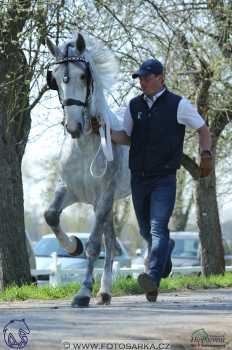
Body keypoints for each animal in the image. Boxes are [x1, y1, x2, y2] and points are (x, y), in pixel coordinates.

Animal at [43, 32, 130, 306]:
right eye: (56, 78)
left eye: (83, 76)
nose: (73, 127)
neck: (84, 145)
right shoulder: (70, 190)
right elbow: (50, 215)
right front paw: (73, 246)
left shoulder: (104, 194)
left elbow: (93, 245)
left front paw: (82, 292)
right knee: (111, 242)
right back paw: (104, 292)